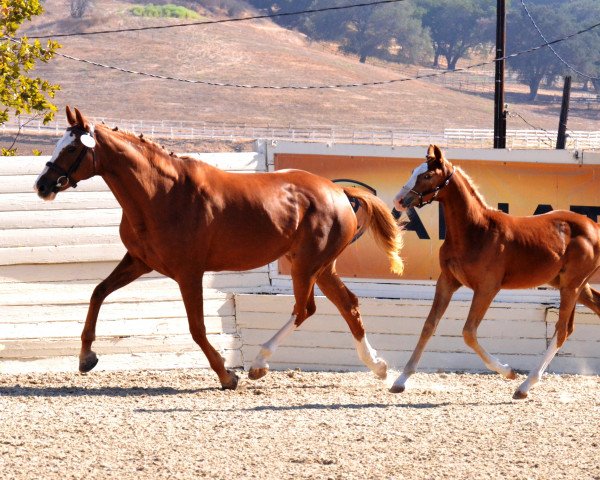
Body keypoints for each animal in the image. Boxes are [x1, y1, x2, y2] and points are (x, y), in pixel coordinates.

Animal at [392, 144, 600, 400]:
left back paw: (524, 386)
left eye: (428, 175)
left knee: (561, 331)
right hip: (572, 285)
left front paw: (508, 371)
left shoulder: (487, 288)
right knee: (579, 320)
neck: (475, 231)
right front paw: (400, 380)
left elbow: (468, 332)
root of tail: (595, 226)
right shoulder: (447, 281)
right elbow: (429, 325)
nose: (399, 200)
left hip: (572, 285)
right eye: (413, 171)